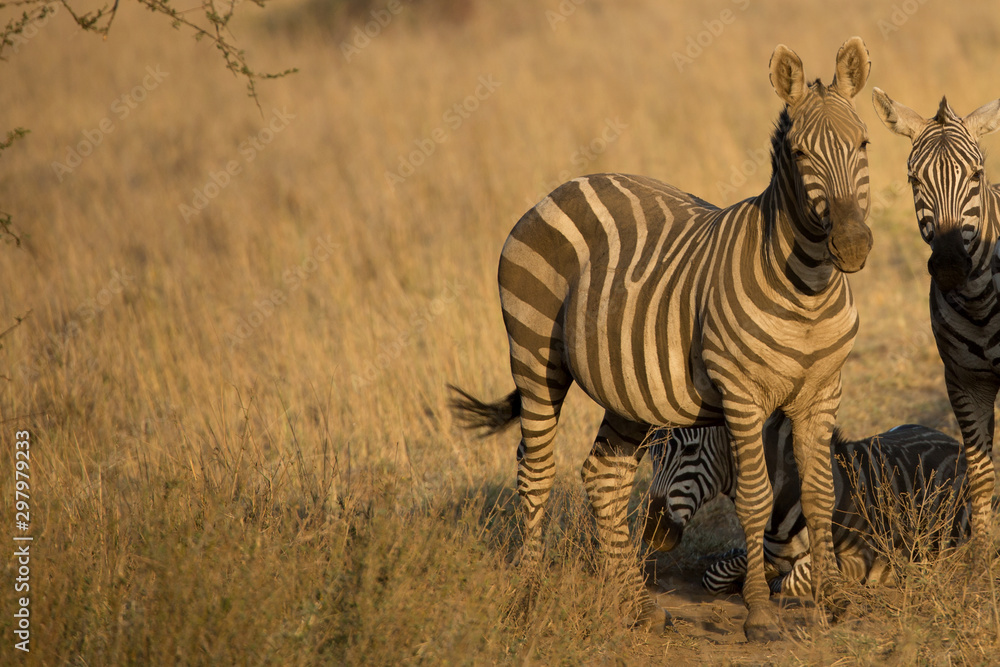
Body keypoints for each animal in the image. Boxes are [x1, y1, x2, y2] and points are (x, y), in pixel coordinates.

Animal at [449, 37, 873, 642]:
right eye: (799, 154)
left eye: (863, 144)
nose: (853, 246)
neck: (809, 287)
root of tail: (564, 186)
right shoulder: (742, 395)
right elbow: (755, 499)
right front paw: (760, 615)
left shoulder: (822, 392)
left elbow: (819, 493)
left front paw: (836, 600)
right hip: (533, 355)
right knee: (535, 470)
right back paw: (526, 600)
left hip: (628, 385)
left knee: (604, 475)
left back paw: (634, 605)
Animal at [644, 415, 970, 597]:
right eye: (651, 452)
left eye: (690, 450)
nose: (653, 533)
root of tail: (951, 440)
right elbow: (715, 574)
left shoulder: (861, 557)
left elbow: (791, 581)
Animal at [871, 90, 1000, 541]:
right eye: (914, 180)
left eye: (977, 175)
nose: (948, 264)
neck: (979, 303)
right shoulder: (962, 380)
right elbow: (980, 474)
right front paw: (982, 553)